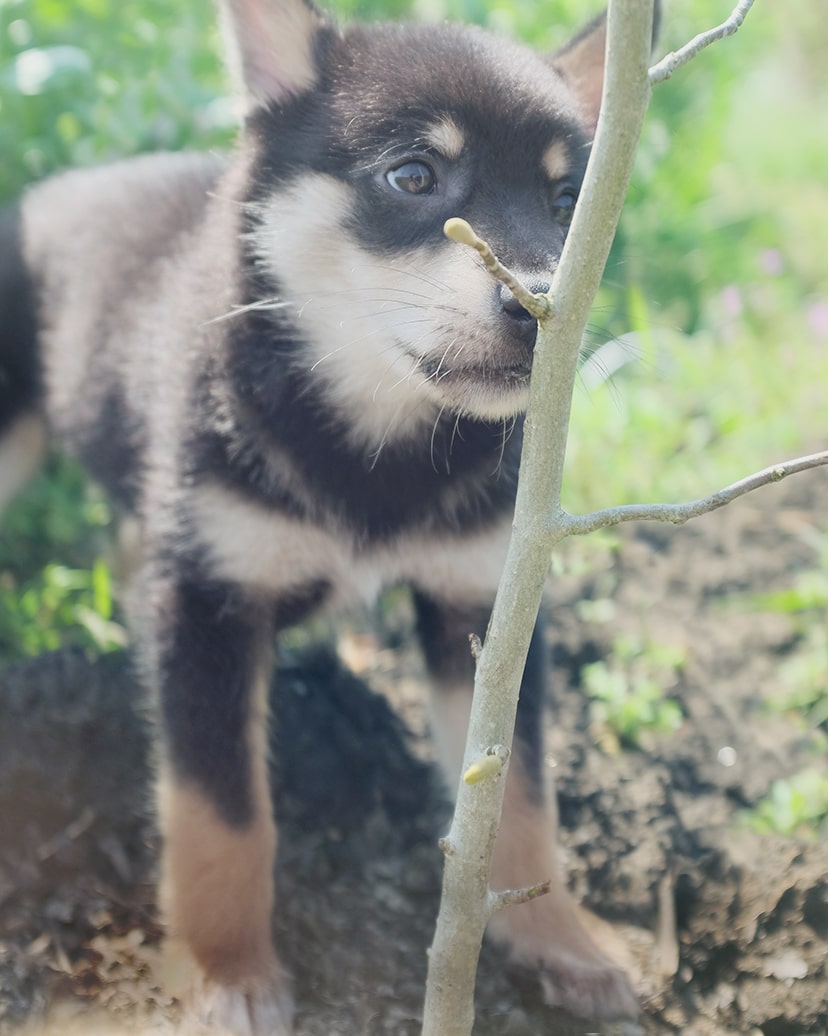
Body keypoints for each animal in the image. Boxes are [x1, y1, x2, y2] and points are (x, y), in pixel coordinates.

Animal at [0, 4, 650, 1031]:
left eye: (565, 207)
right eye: (413, 176)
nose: (543, 308)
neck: (373, 445)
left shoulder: (485, 607)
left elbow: (515, 793)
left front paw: (559, 942)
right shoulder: (206, 610)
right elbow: (220, 813)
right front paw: (226, 972)